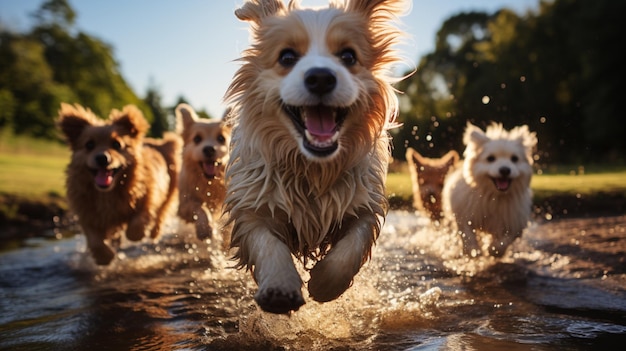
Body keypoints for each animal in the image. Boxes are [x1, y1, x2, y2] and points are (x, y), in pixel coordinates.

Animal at [57, 103, 179, 266]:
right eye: (89, 145)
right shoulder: (87, 212)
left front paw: (136, 234)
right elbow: (94, 239)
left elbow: (139, 220)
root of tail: (160, 143)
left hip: (169, 193)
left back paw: (153, 232)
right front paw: (104, 257)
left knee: (161, 214)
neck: (108, 193)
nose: (102, 158)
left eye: (117, 144)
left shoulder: (149, 195)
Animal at [174, 103, 230, 243]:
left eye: (221, 138)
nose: (209, 149)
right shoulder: (184, 205)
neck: (209, 182)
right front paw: (204, 229)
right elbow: (199, 208)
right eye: (197, 139)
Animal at [222, 0, 408, 314]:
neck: (312, 168)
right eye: (287, 57)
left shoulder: (363, 204)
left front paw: (324, 283)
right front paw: (279, 287)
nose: (320, 77)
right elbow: (267, 244)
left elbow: (350, 250)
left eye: (348, 55)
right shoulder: (253, 205)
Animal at [438, 122, 536, 258]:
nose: (505, 170)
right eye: (490, 158)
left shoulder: (514, 222)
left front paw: (494, 250)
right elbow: (468, 234)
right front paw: (473, 250)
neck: (495, 196)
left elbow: (505, 240)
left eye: (514, 159)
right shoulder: (464, 215)